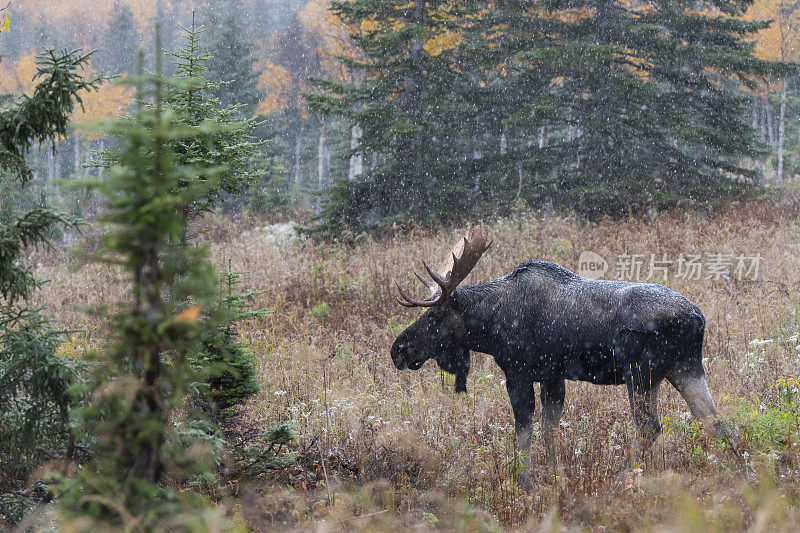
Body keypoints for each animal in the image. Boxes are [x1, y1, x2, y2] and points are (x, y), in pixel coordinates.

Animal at [392, 224, 724, 486]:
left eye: (435, 315)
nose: (398, 350)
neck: (491, 323)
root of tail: (697, 318)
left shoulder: (518, 372)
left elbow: (524, 430)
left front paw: (525, 482)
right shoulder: (553, 377)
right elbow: (549, 429)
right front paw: (555, 476)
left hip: (641, 373)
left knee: (649, 427)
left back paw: (619, 476)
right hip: (684, 368)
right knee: (713, 419)